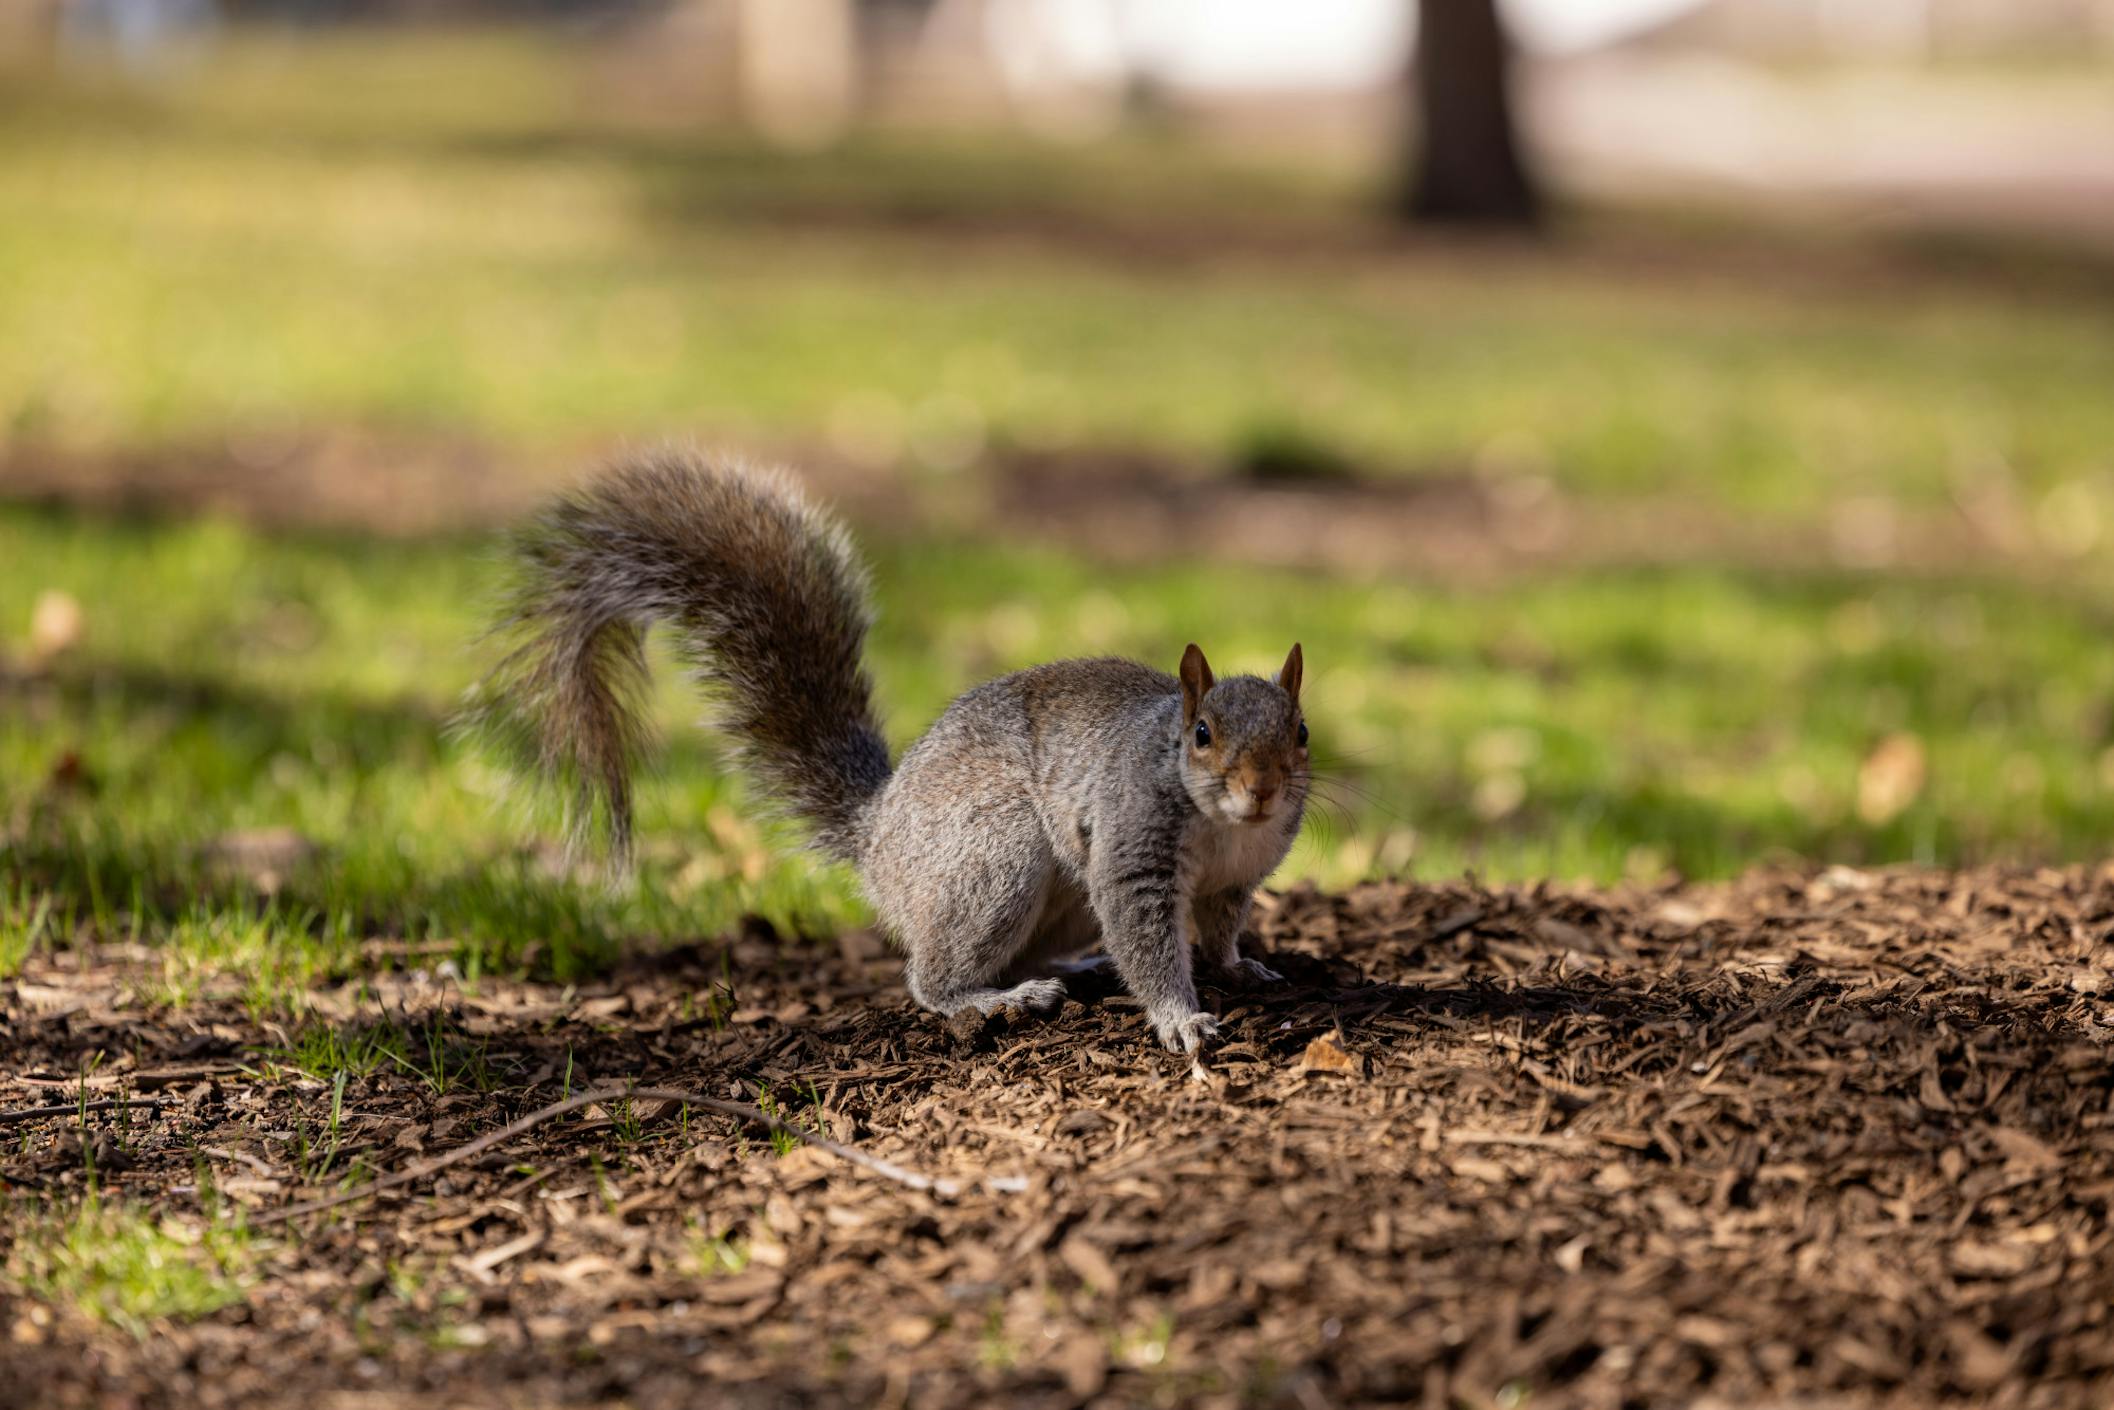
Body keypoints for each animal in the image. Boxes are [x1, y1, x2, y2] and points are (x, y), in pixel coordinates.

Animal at [473, 449, 1310, 1052]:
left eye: (1301, 732)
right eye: (1202, 736)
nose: (1262, 789)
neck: (1225, 827)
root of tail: (877, 837)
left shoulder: (1236, 882)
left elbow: (1222, 928)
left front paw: (1242, 967)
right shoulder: (1133, 851)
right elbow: (1146, 937)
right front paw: (1179, 1016)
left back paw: (1067, 966)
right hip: (994, 856)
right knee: (930, 974)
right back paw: (992, 999)